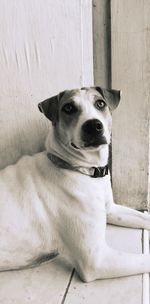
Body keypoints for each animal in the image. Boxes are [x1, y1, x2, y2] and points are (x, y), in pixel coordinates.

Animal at [0, 86, 150, 282]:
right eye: (68, 108)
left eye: (100, 103)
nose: (93, 125)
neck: (83, 172)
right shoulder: (97, 260)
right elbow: (145, 259)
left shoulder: (111, 210)